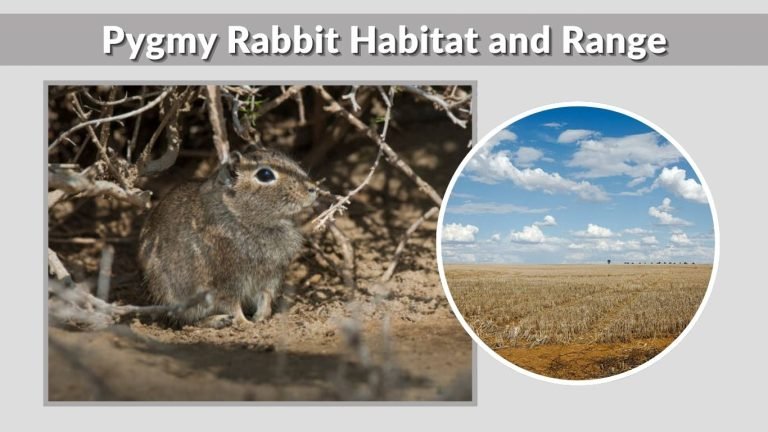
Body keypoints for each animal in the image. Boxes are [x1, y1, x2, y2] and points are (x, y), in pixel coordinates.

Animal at [138, 146, 318, 328]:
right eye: (265, 175)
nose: (313, 189)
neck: (240, 215)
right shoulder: (225, 282)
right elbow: (232, 305)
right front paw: (245, 324)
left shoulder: (270, 278)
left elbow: (265, 297)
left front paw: (261, 318)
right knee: (187, 320)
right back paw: (219, 320)